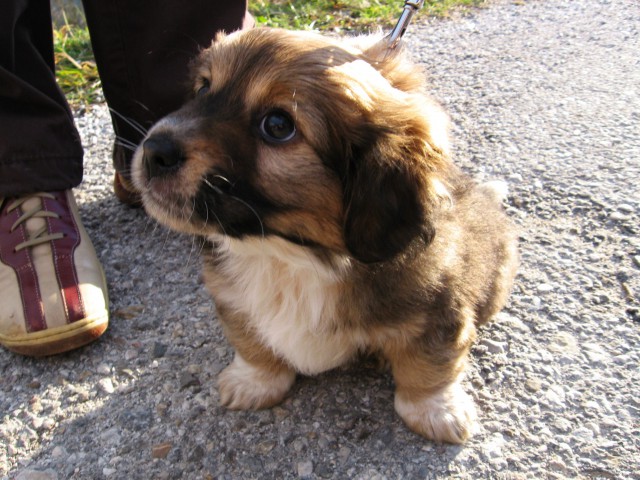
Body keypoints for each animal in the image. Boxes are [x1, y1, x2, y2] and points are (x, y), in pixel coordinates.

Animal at [131, 28, 520, 444]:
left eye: (278, 125)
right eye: (204, 88)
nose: (153, 151)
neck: (288, 255)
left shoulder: (439, 310)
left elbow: (429, 365)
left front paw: (436, 410)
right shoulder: (231, 298)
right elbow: (251, 343)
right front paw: (253, 382)